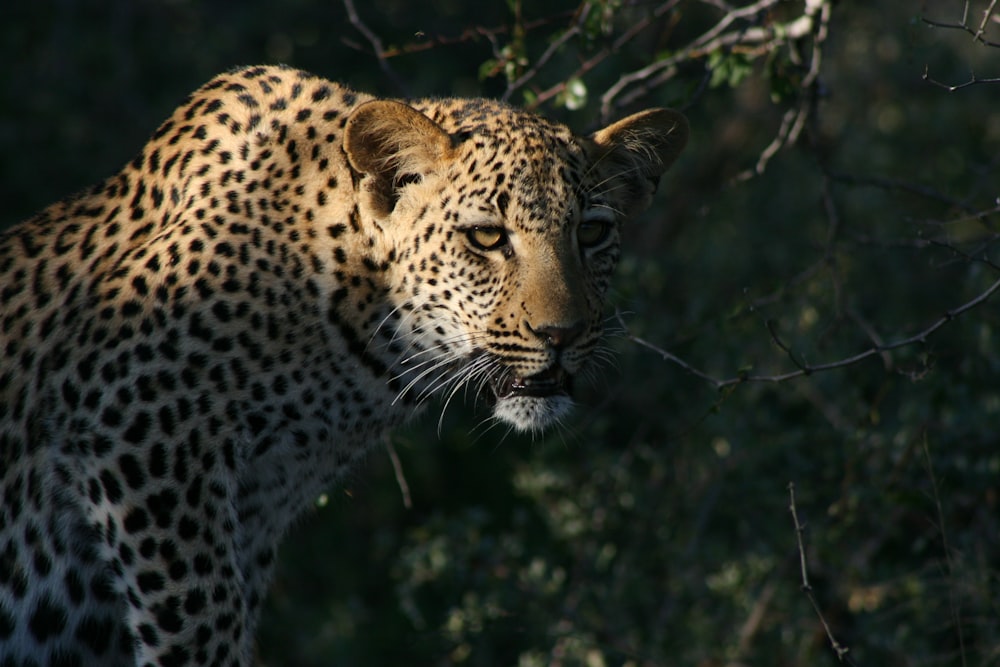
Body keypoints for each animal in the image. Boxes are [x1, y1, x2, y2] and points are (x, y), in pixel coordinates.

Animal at [0, 64, 688, 667]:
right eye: (487, 238)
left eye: (592, 234)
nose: (561, 335)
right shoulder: (137, 432)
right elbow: (199, 616)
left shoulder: (250, 512)